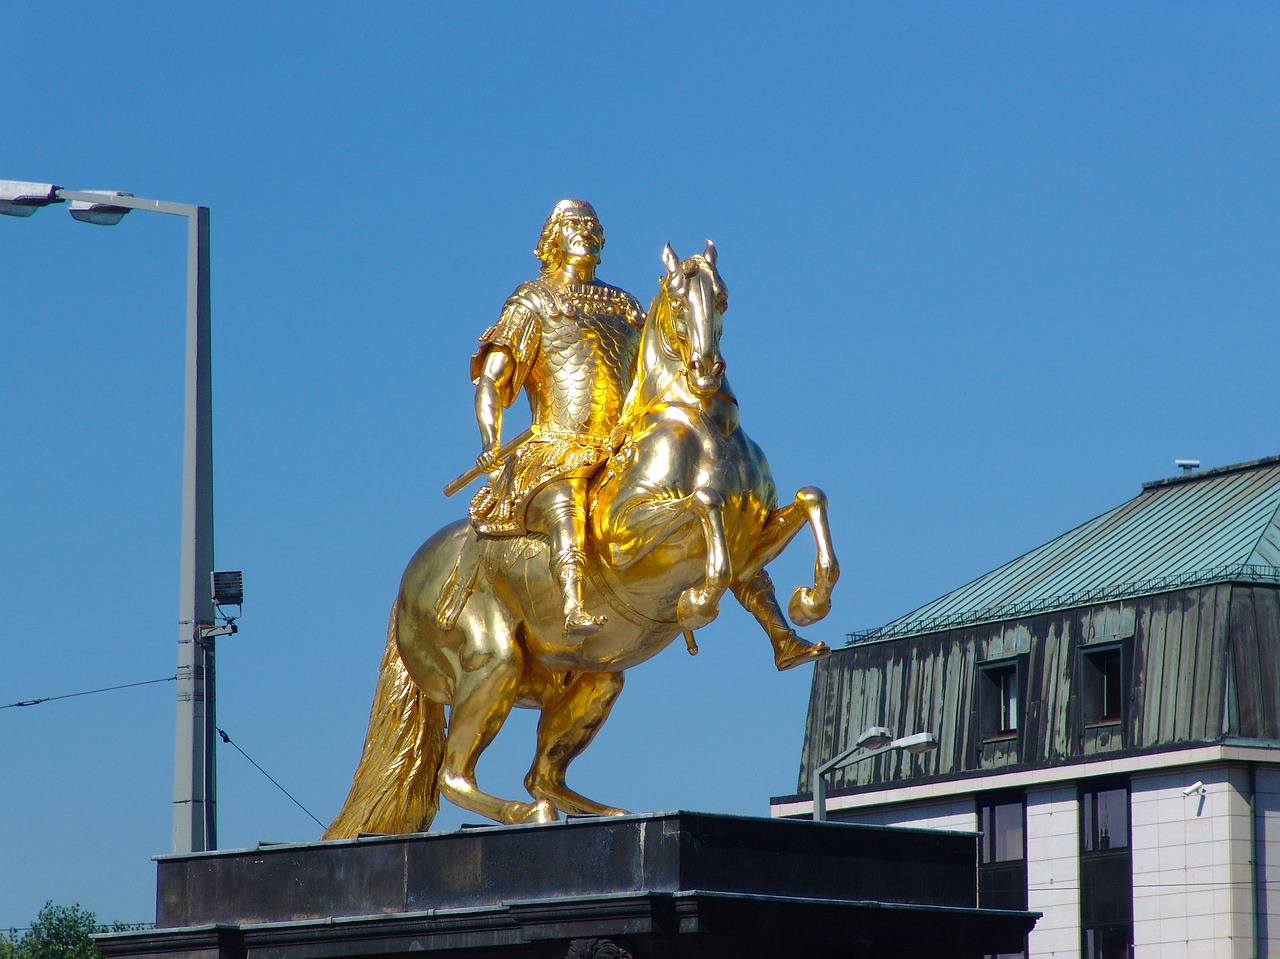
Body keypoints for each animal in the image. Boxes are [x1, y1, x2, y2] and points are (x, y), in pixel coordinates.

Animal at [325, 240, 834, 839]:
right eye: (678, 297)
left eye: (724, 297)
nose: (707, 369)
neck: (705, 427)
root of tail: (407, 585)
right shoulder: (627, 546)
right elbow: (704, 506)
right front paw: (698, 602)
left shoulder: (752, 534)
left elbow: (804, 506)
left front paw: (807, 608)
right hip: (493, 664)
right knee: (455, 775)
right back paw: (529, 814)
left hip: (595, 680)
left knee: (541, 775)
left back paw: (606, 812)